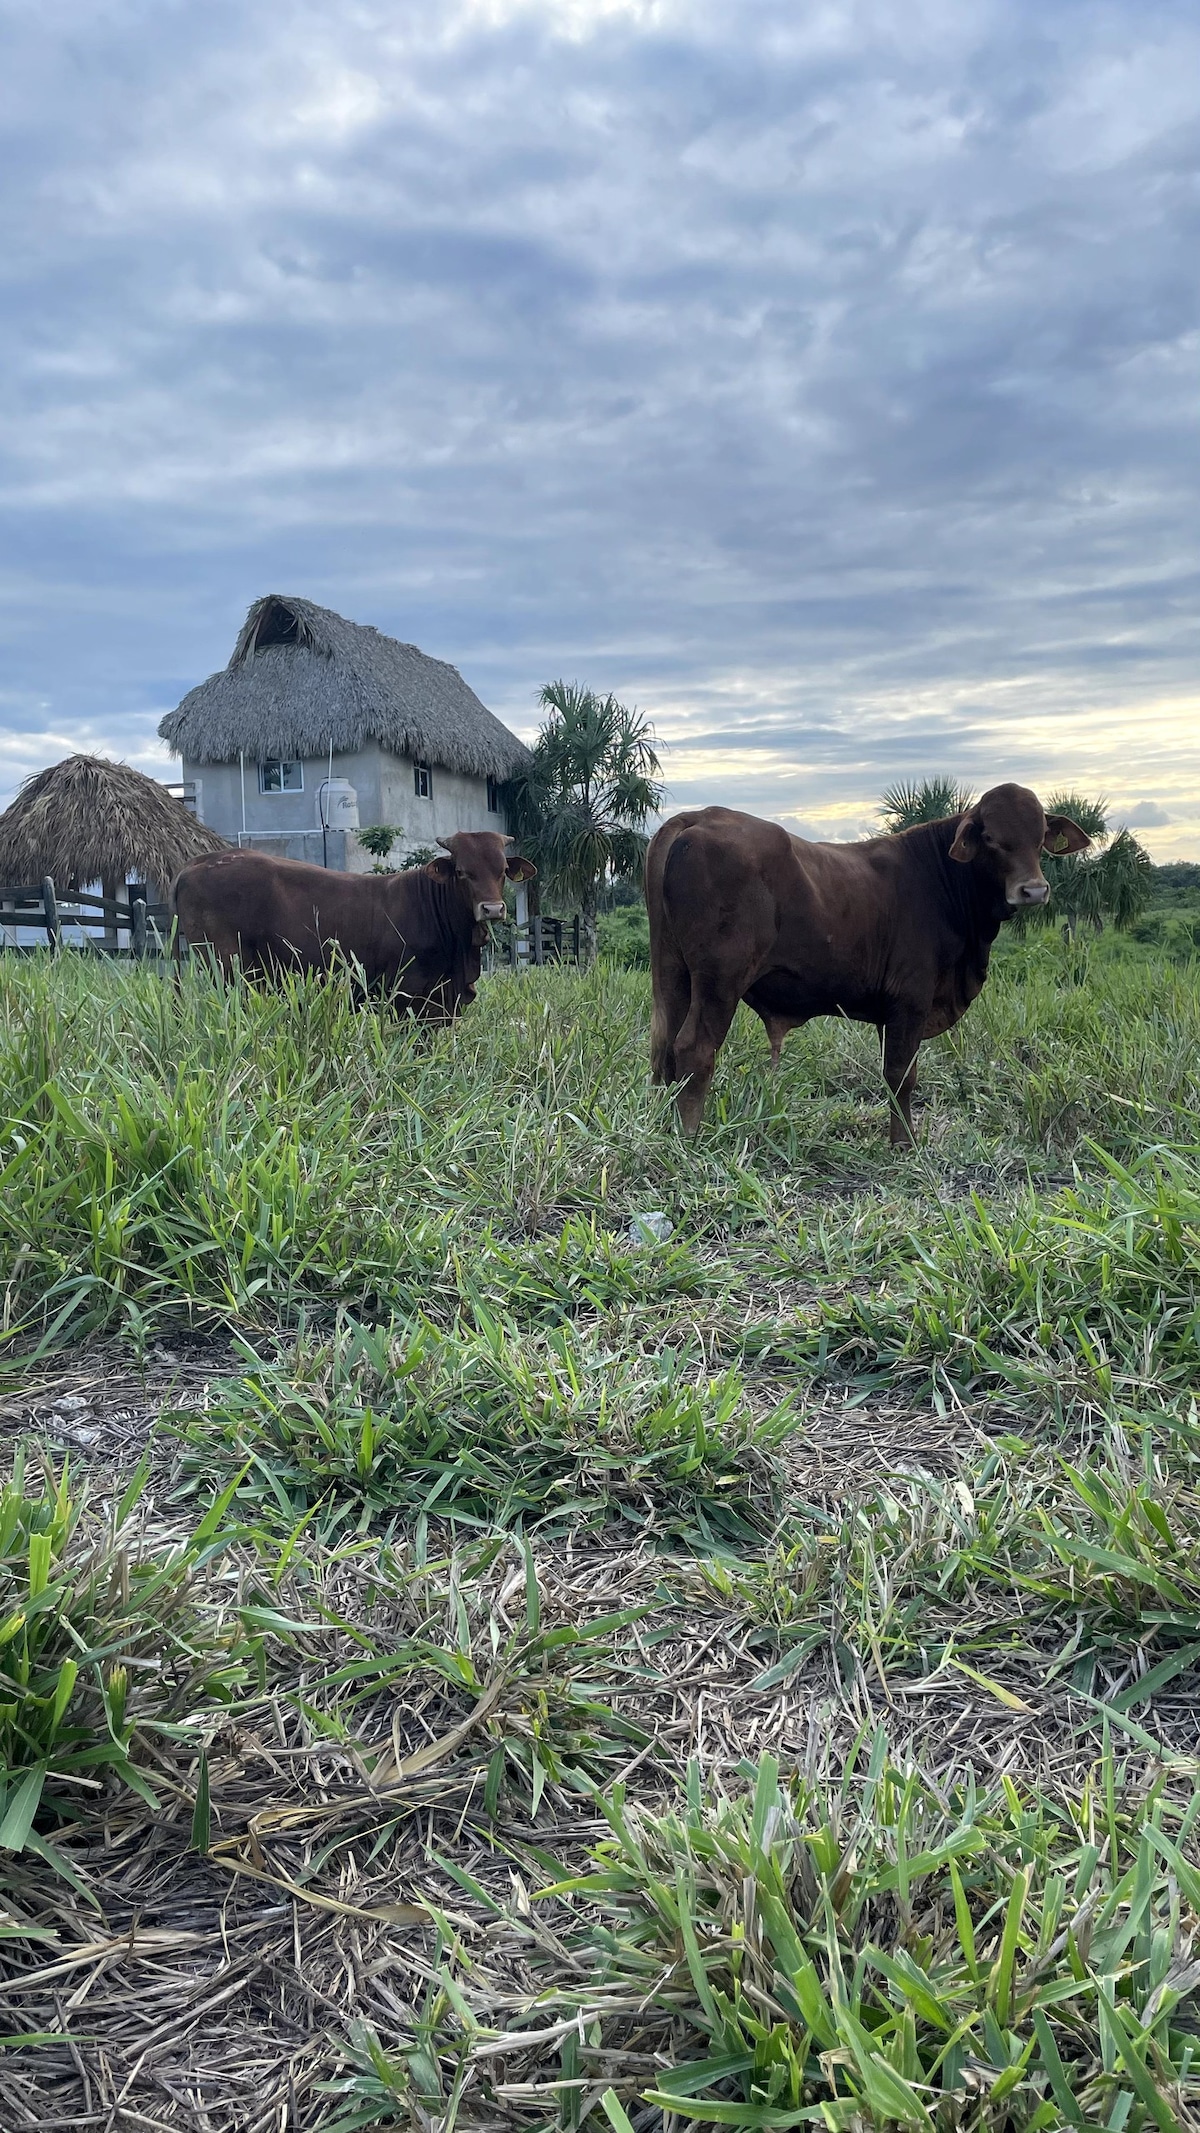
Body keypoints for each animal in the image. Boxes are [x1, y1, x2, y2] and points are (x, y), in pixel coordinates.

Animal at [172, 823, 534, 1015]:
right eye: (461, 872)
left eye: (502, 870)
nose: (492, 909)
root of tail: (197, 863)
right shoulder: (406, 993)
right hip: (226, 966)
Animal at [652, 784, 1091, 1143]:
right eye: (989, 838)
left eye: (1040, 837)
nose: (1033, 890)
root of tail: (697, 817)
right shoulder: (911, 1000)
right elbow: (901, 1076)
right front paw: (904, 1144)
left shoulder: (890, 1011)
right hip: (719, 981)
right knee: (694, 1047)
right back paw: (689, 1135)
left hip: (672, 973)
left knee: (662, 1045)